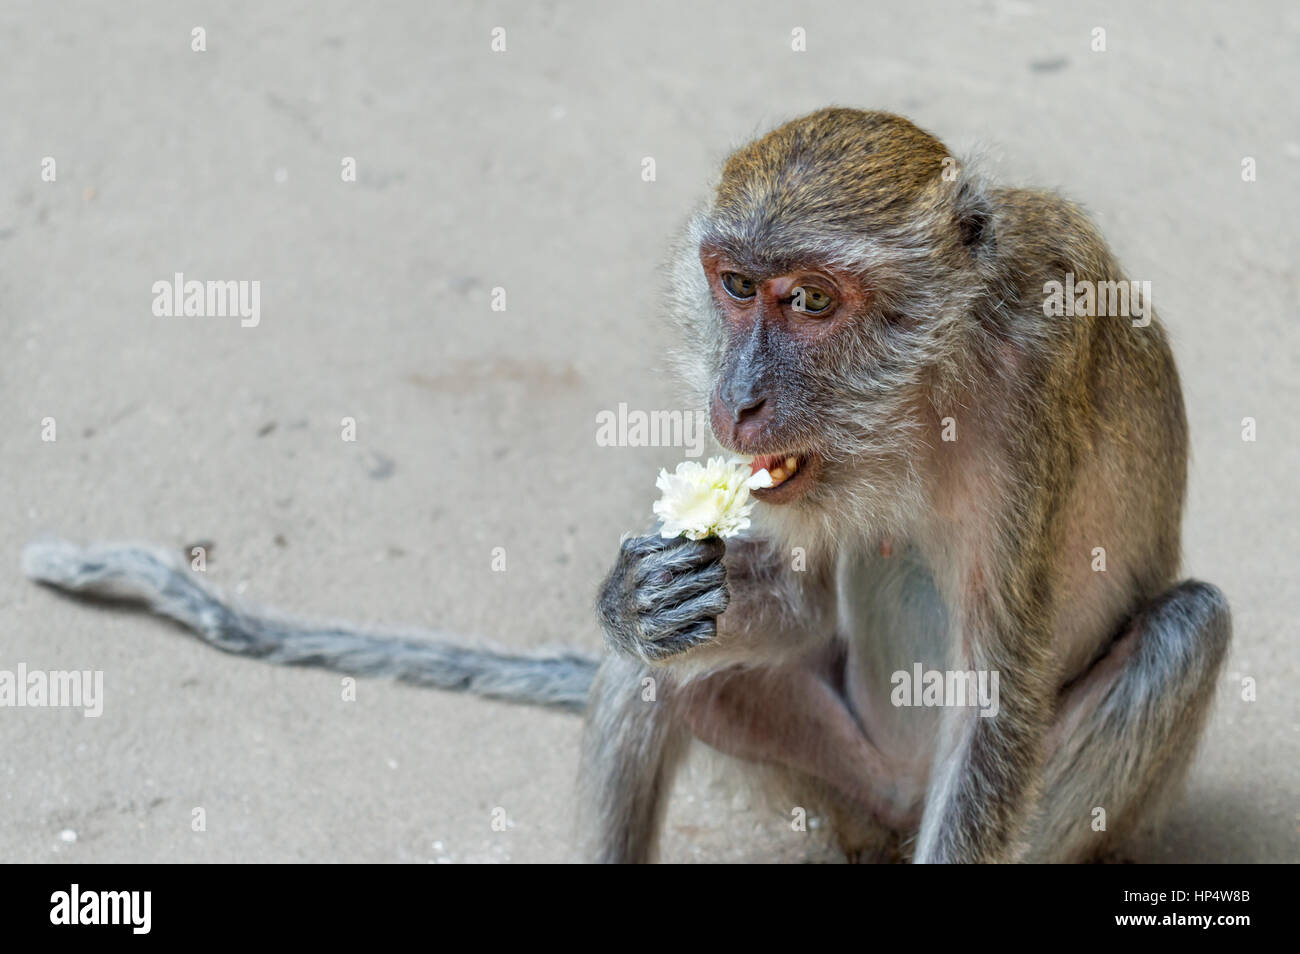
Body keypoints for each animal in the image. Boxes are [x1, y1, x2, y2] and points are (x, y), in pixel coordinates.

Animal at [25, 110, 1232, 868]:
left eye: (809, 302)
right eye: (736, 287)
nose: (735, 400)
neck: (934, 378)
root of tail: (879, 808)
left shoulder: (1035, 399)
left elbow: (994, 700)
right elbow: (761, 606)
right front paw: (646, 591)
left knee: (1186, 631)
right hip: (823, 771)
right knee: (667, 679)